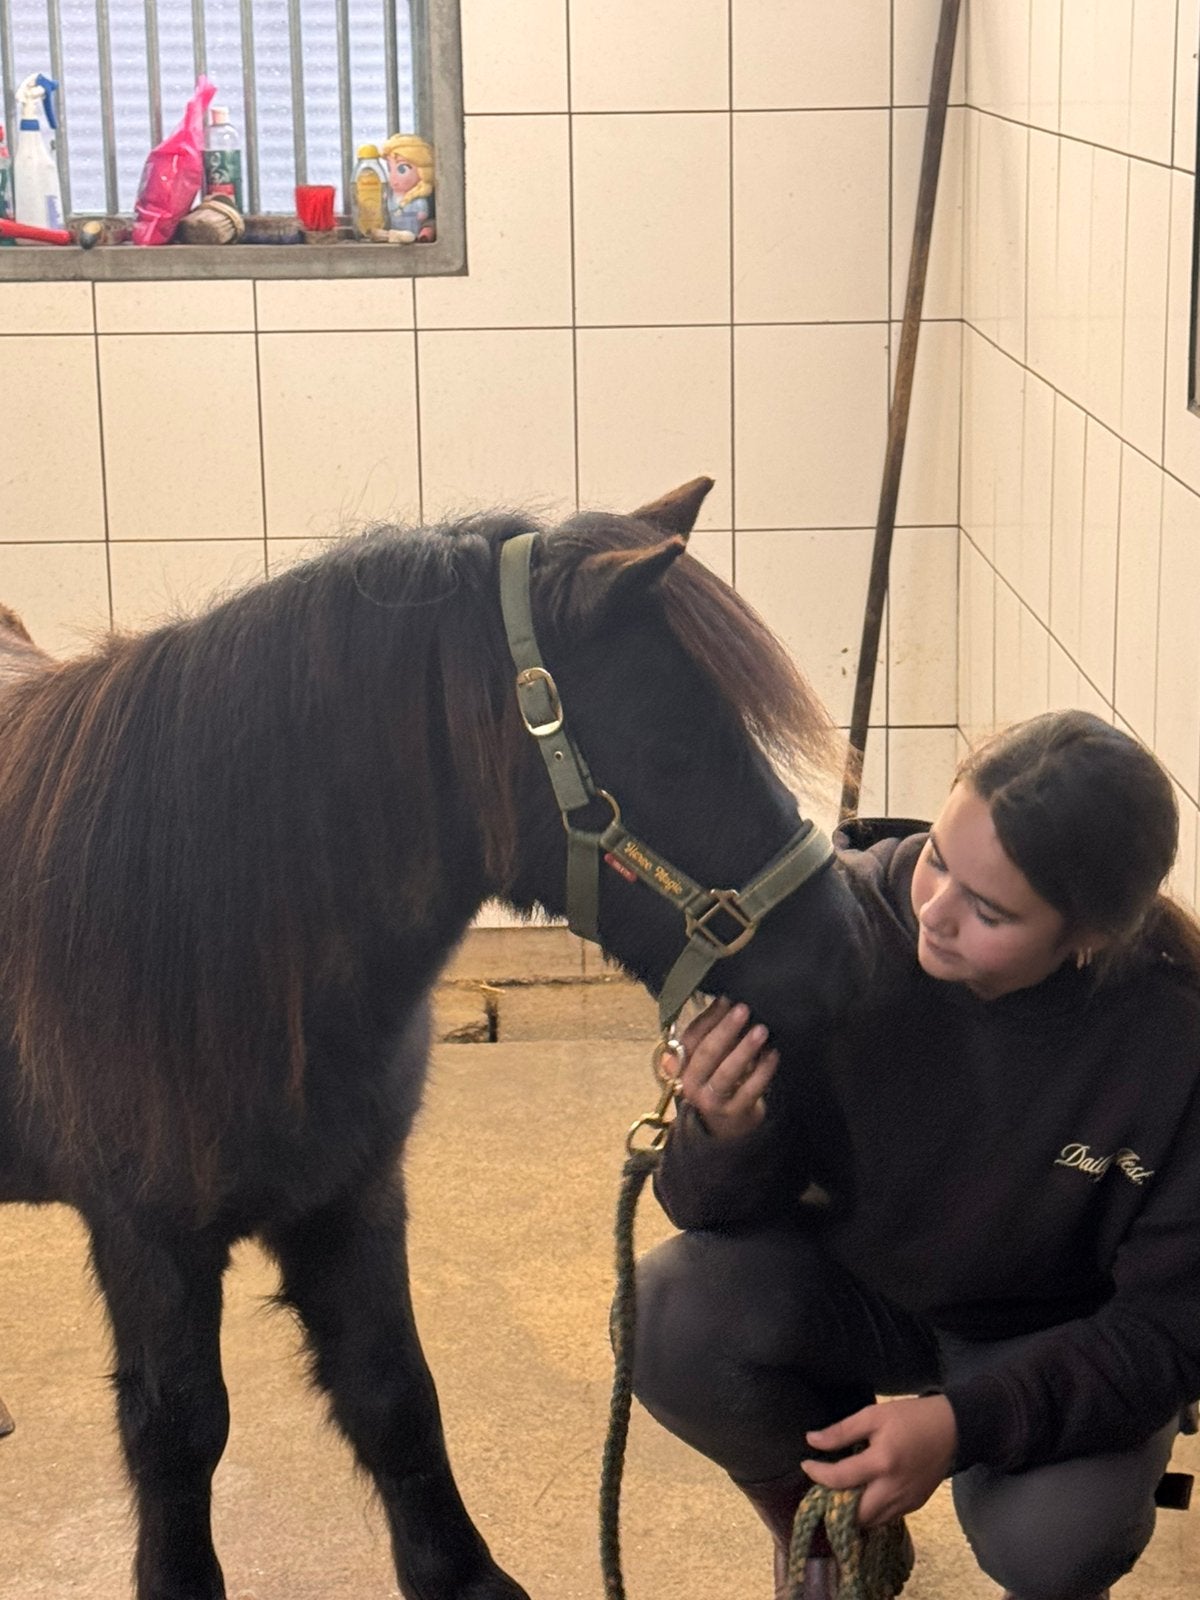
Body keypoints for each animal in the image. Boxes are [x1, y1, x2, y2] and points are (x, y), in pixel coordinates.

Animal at [0, 479, 864, 1600]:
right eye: (677, 748)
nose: (845, 949)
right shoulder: (147, 1239)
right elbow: (177, 1433)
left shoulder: (354, 1196)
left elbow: (394, 1395)